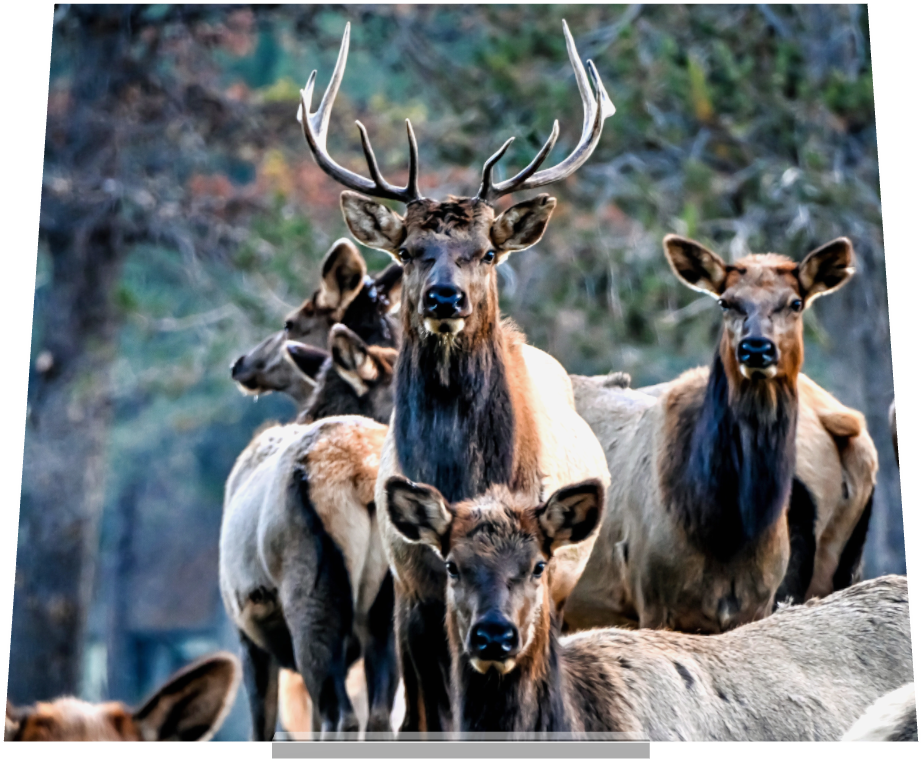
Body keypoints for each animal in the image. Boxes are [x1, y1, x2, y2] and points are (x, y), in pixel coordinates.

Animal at [295, 20, 614, 732]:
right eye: (409, 250)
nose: (447, 298)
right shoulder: (412, 581)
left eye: (488, 251)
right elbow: (424, 716)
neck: (463, 470)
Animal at [564, 234, 877, 633]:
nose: (755, 348)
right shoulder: (652, 599)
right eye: (726, 301)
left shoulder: (755, 604)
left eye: (795, 303)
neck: (727, 529)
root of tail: (845, 425)